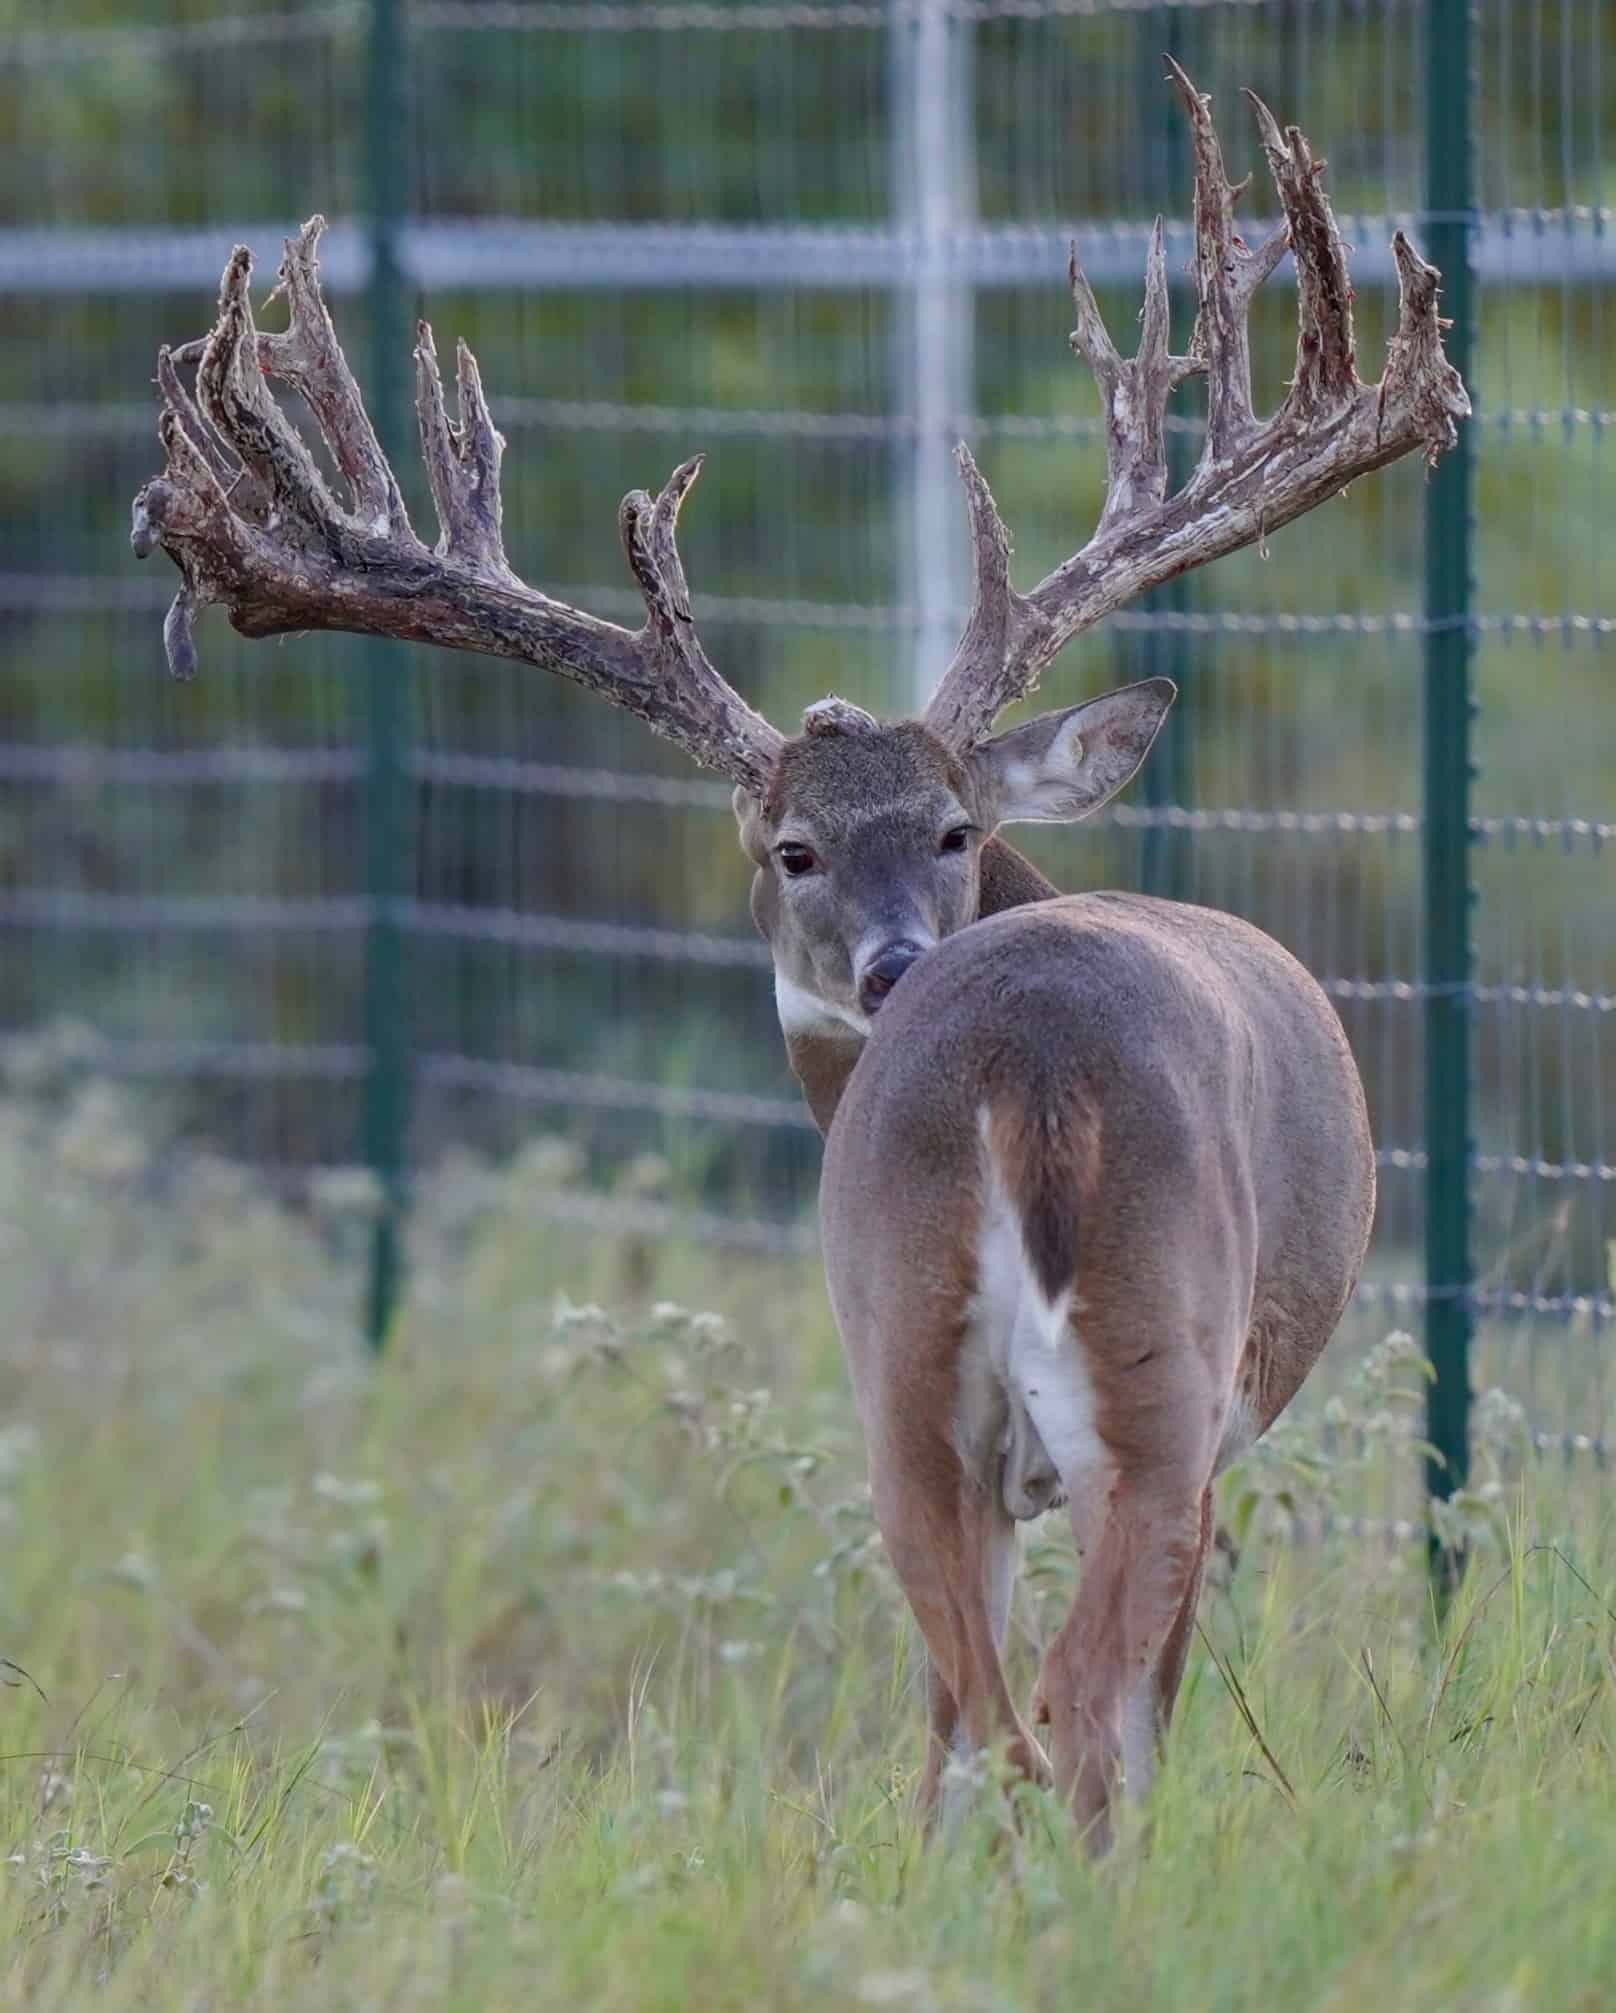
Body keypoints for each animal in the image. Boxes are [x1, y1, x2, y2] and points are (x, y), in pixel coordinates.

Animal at [128, 65, 1467, 1848]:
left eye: (957, 829)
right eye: (794, 849)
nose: (892, 964)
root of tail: (1029, 1075)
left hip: (901, 1361)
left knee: (983, 1708)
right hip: (1155, 1355)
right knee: (1069, 1706)